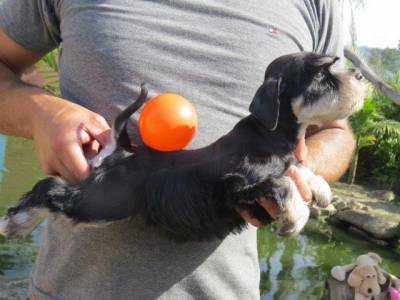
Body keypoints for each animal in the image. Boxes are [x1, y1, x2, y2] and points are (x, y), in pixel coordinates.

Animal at [0, 52, 366, 241]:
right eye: (320, 76)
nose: (361, 76)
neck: (272, 133)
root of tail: (119, 152)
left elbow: (296, 169)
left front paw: (320, 190)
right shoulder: (237, 187)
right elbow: (283, 182)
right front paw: (295, 219)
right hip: (103, 202)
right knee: (50, 189)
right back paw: (16, 223)